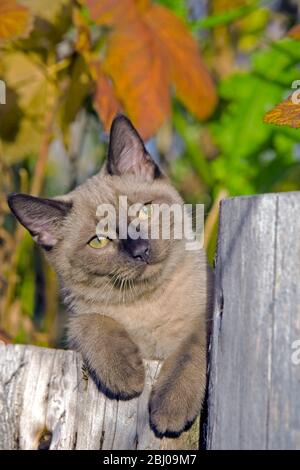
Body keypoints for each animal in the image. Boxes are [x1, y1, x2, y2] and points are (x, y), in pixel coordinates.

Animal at [7, 115, 213, 438]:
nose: (140, 250)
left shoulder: (207, 317)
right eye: (99, 242)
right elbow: (90, 323)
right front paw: (126, 376)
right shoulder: (78, 321)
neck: (148, 303)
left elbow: (190, 349)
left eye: (143, 212)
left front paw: (171, 408)